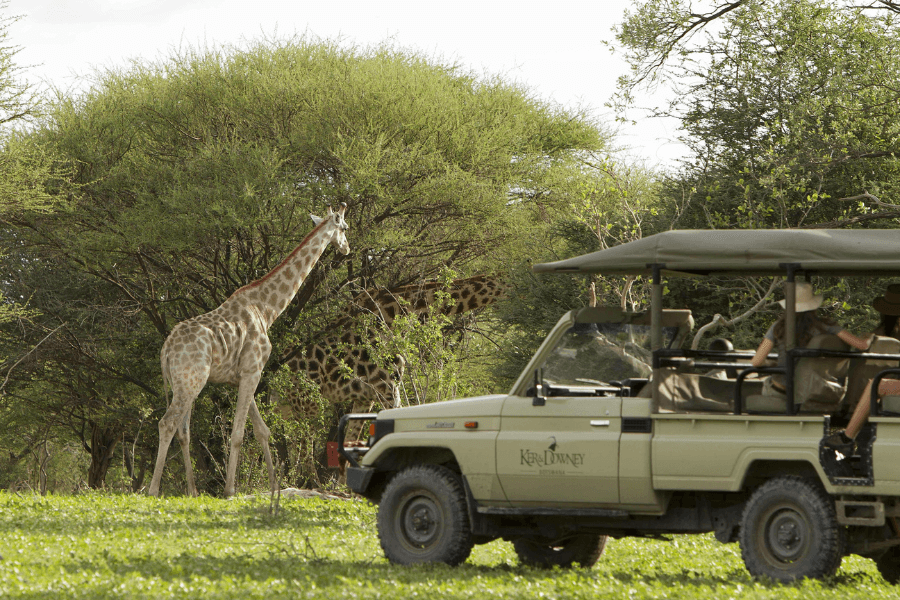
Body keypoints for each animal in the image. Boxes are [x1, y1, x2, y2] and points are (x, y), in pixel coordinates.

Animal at [148, 203, 350, 497]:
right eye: (344, 227)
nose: (346, 248)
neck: (266, 309)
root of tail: (166, 350)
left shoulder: (245, 375)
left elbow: (262, 430)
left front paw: (275, 486)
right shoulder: (253, 370)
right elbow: (238, 433)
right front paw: (230, 489)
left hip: (182, 383)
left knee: (183, 430)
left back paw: (193, 491)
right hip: (191, 381)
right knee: (167, 424)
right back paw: (153, 490)